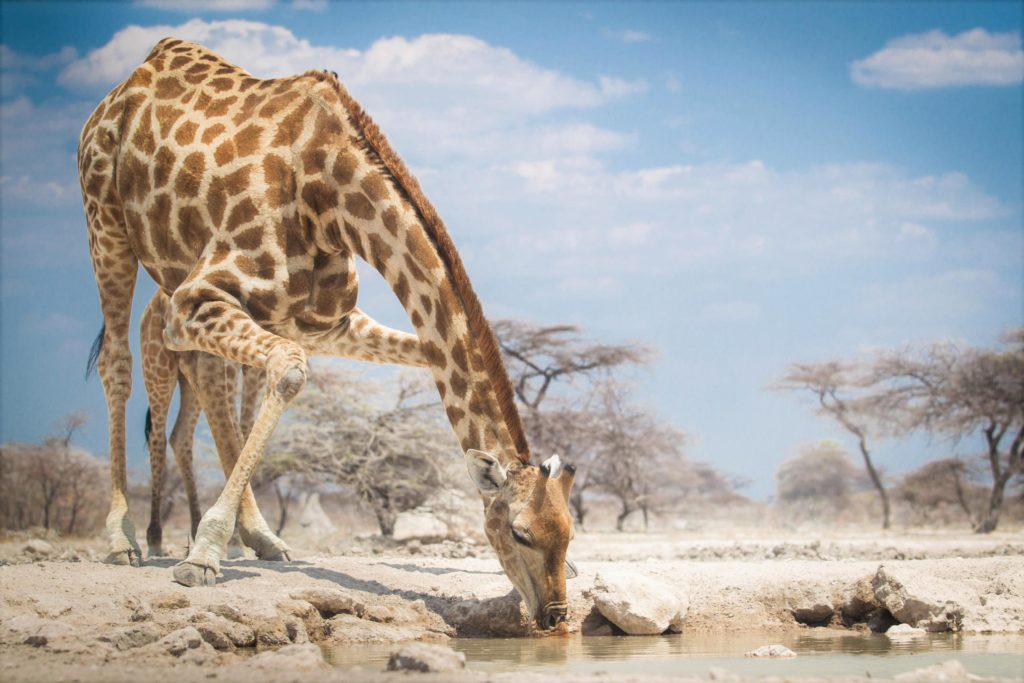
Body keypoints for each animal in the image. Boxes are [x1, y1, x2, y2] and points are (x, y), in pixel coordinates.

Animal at [74, 38, 577, 630]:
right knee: (118, 364)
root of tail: (128, 81)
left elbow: (409, 357)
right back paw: (128, 540)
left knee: (210, 382)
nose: (555, 616)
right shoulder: (193, 301)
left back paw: (259, 537)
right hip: (105, 222)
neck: (331, 197)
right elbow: (290, 374)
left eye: (570, 534)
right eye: (519, 533)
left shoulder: (323, 322)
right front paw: (201, 555)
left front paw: (225, 540)